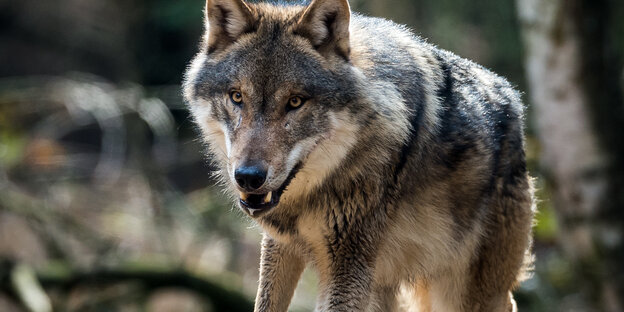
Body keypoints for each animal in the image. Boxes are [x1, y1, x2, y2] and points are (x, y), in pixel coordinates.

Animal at [183, 0, 532, 310]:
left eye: (295, 102)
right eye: (236, 97)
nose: (248, 177)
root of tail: (514, 100)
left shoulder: (348, 263)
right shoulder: (280, 246)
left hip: (464, 292)